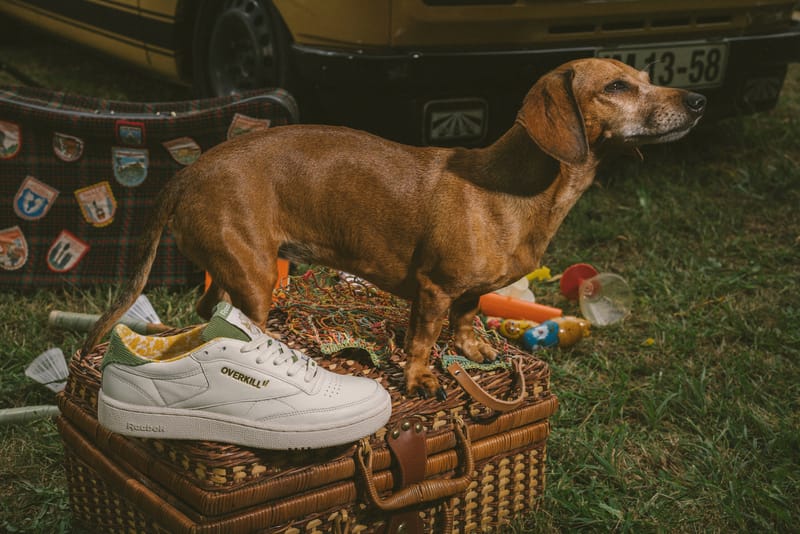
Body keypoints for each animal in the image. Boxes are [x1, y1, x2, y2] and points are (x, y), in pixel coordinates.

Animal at [83, 60, 708, 400]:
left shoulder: (468, 292)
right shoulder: (433, 288)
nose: (700, 100)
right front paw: (420, 377)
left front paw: (473, 349)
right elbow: (425, 338)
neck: (511, 189)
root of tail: (188, 173)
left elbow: (467, 316)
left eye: (647, 78)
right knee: (231, 320)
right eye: (618, 87)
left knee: (204, 310)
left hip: (235, 270)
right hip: (256, 277)